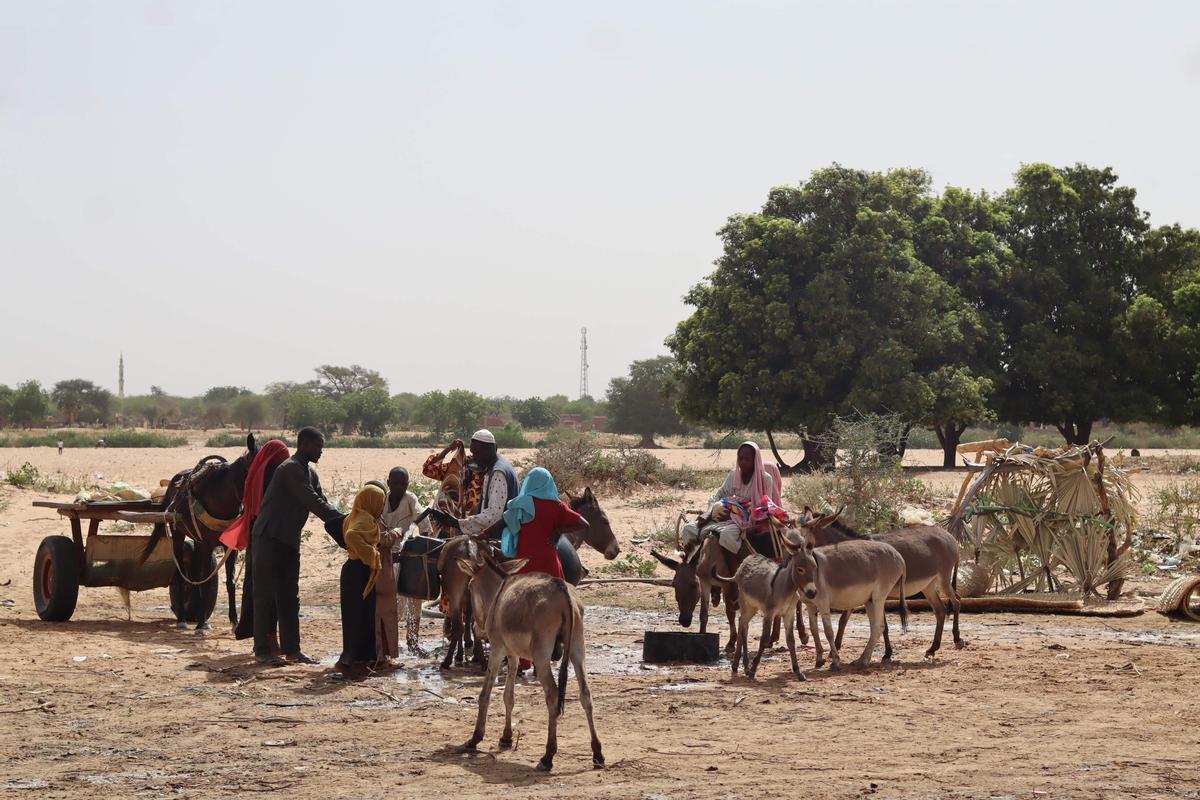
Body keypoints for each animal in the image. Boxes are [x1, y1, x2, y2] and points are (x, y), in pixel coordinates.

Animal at [141, 438, 258, 633]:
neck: (221, 499)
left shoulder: (229, 547)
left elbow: (230, 581)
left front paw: (234, 621)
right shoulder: (206, 544)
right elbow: (203, 581)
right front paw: (202, 624)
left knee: (194, 575)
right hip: (178, 535)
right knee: (182, 575)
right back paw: (182, 618)